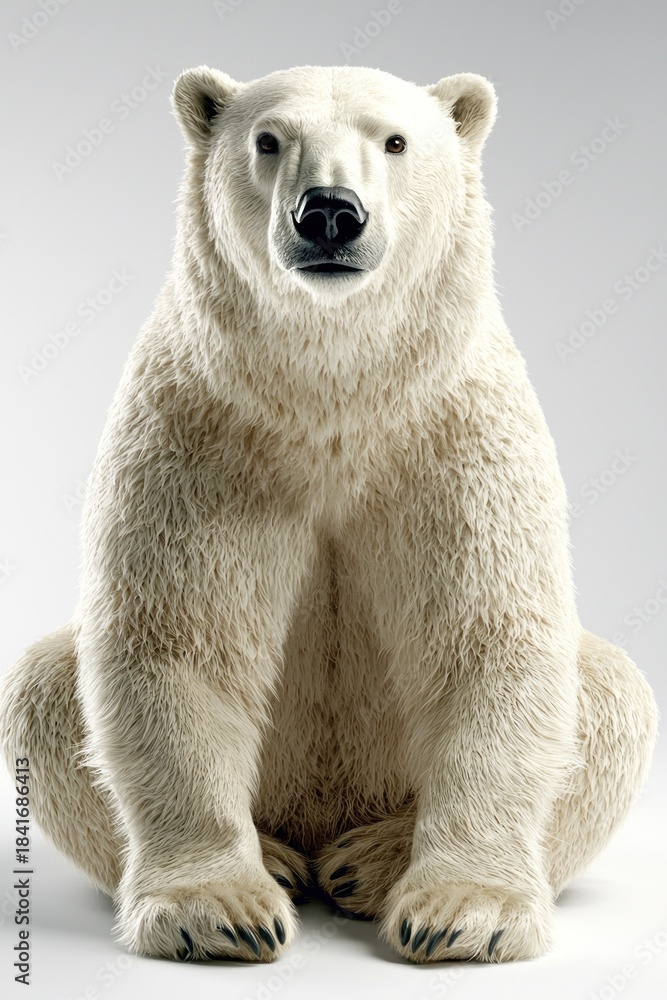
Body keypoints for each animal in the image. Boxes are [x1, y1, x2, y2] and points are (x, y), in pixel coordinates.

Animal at [0, 64, 658, 965]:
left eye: (395, 140)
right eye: (268, 139)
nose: (330, 213)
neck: (334, 402)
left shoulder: (452, 437)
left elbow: (488, 640)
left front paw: (461, 913)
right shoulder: (203, 435)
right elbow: (179, 641)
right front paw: (219, 911)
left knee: (610, 691)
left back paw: (367, 863)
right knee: (43, 688)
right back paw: (283, 860)